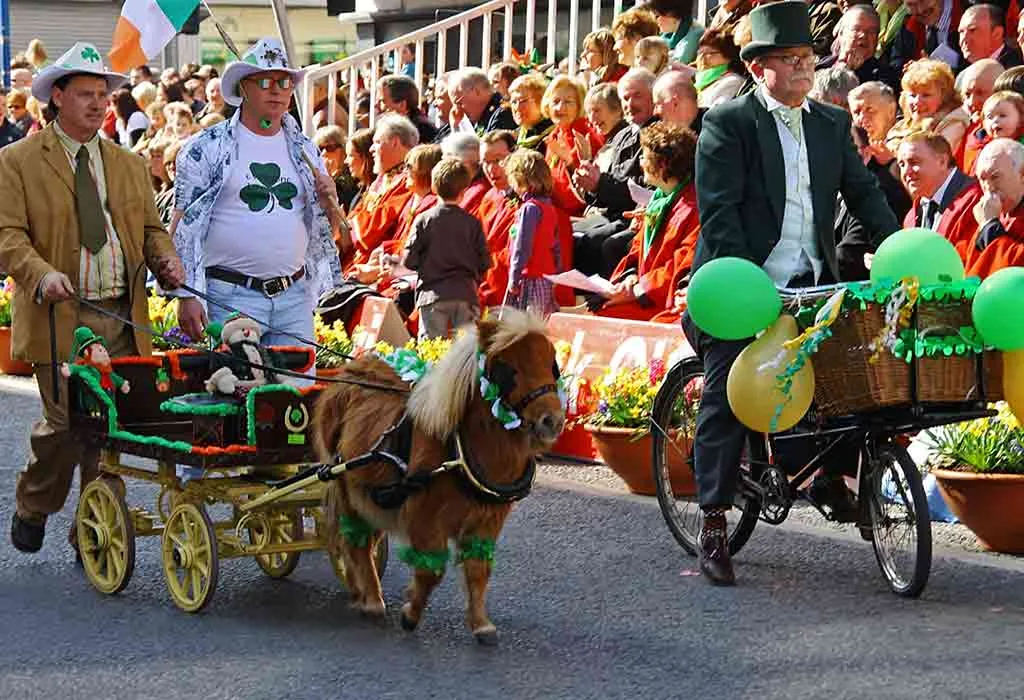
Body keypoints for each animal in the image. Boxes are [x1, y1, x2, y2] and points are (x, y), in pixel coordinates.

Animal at [313, 311, 565, 646]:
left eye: (552, 363)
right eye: (508, 370)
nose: (552, 421)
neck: (458, 448)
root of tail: (349, 373)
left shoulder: (487, 521)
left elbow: (478, 570)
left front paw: (481, 624)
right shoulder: (424, 517)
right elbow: (431, 571)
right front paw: (410, 614)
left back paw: (359, 590)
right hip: (344, 483)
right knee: (355, 541)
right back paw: (371, 600)